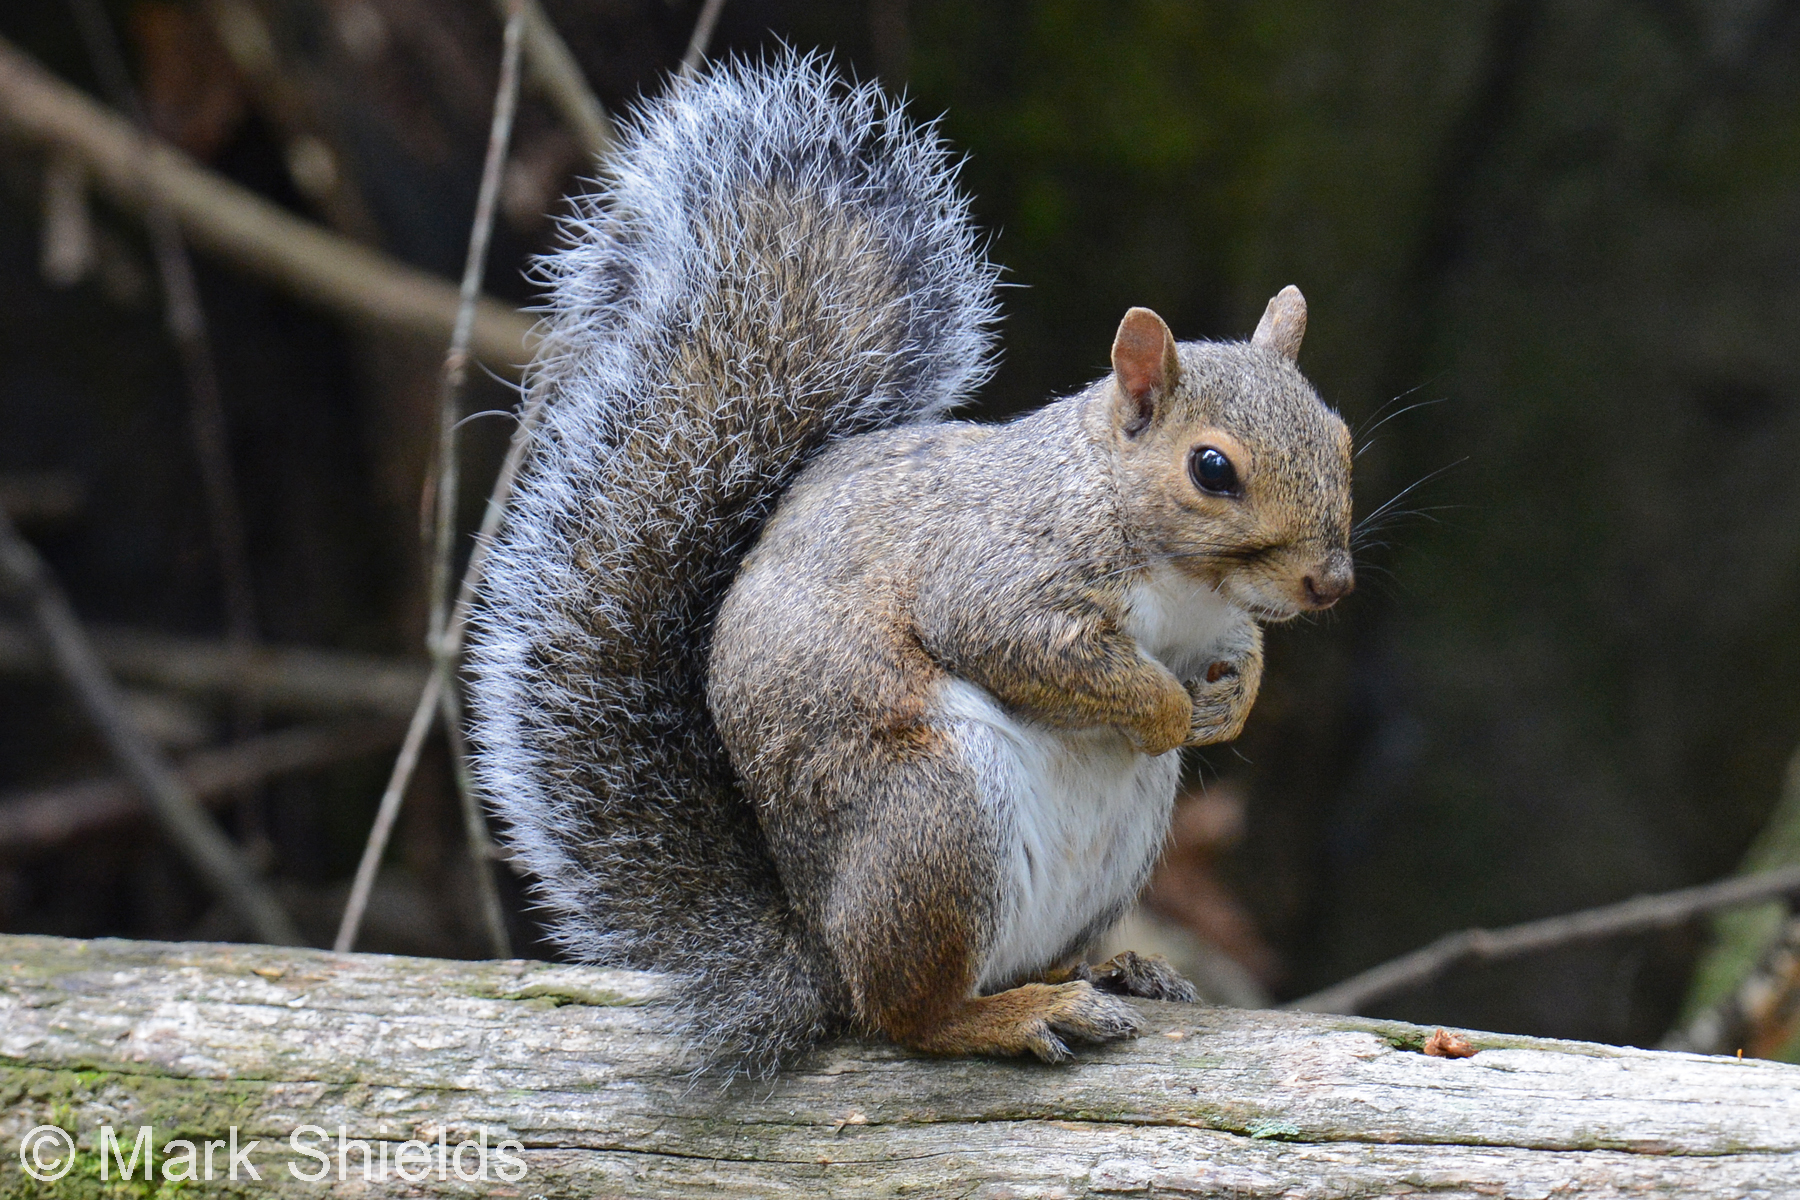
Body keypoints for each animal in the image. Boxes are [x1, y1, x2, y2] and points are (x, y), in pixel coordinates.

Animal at [468, 53, 1353, 1079]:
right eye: (1212, 469)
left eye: (1342, 438)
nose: (1330, 583)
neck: (1183, 582)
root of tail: (819, 950)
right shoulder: (997, 571)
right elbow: (1026, 647)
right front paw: (1170, 712)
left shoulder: (1219, 617)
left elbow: (1246, 646)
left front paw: (1230, 702)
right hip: (932, 820)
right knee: (907, 1014)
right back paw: (1012, 1015)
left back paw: (1117, 969)